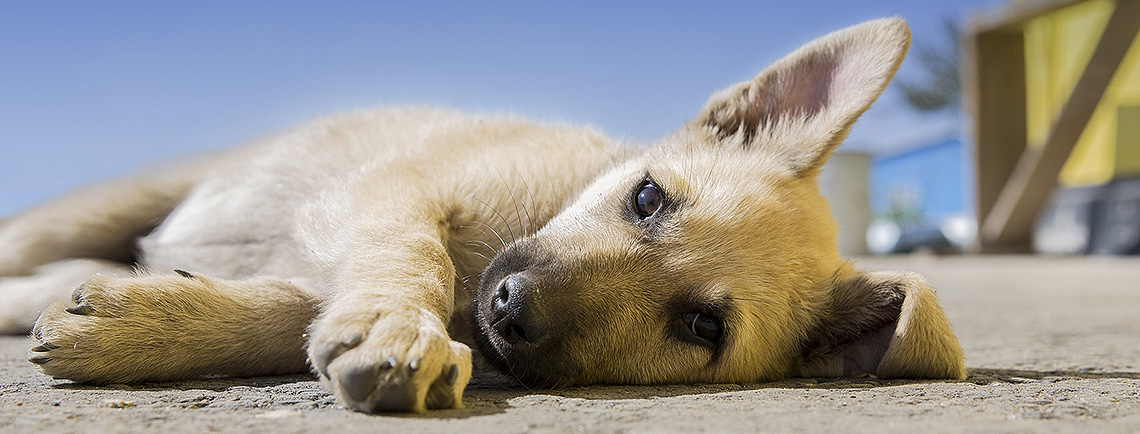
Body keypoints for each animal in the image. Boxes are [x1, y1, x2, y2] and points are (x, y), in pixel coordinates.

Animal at [0, 18, 962, 412]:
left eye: (701, 327)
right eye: (648, 197)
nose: (509, 308)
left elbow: (290, 311)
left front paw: (142, 324)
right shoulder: (387, 192)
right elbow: (411, 256)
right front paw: (399, 328)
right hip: (98, 206)